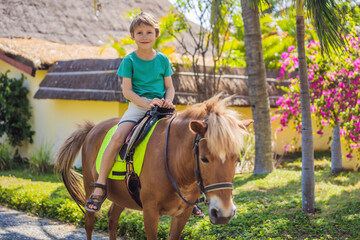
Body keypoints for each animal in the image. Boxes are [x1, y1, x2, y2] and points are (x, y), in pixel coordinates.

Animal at [56, 94, 253, 239]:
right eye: (204, 159)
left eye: (237, 159)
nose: (224, 213)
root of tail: (93, 128)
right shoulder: (150, 212)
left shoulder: (182, 213)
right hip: (90, 189)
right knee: (89, 223)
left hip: (122, 196)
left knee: (112, 218)